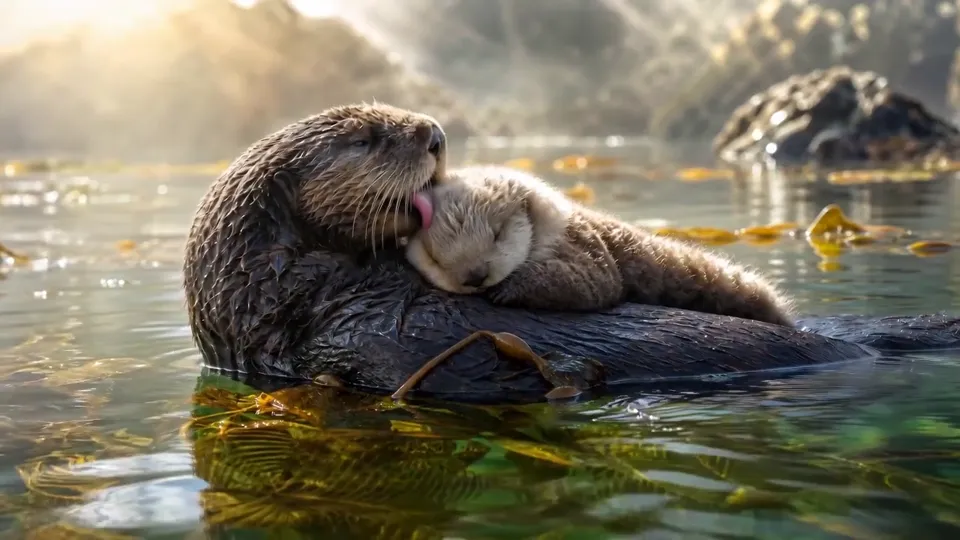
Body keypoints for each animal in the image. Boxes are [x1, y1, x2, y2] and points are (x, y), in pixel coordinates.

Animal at [405, 166, 794, 327]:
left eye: (498, 234)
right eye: (434, 258)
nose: (475, 276)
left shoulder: (583, 248)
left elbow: (590, 283)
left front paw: (508, 288)